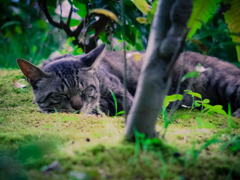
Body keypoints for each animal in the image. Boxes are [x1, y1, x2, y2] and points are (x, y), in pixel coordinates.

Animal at [17, 44, 240, 117]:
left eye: (86, 89)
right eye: (60, 94)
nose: (78, 107)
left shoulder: (123, 96)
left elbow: (103, 106)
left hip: (224, 82)